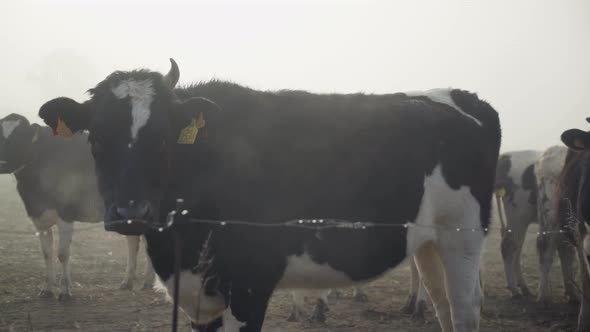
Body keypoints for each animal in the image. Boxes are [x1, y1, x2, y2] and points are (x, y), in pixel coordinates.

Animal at [40, 59, 504, 332]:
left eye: (164, 140)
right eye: (96, 140)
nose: (130, 212)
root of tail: (461, 96)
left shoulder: (250, 285)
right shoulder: (199, 297)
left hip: (463, 235)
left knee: (465, 308)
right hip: (427, 240)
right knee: (442, 305)